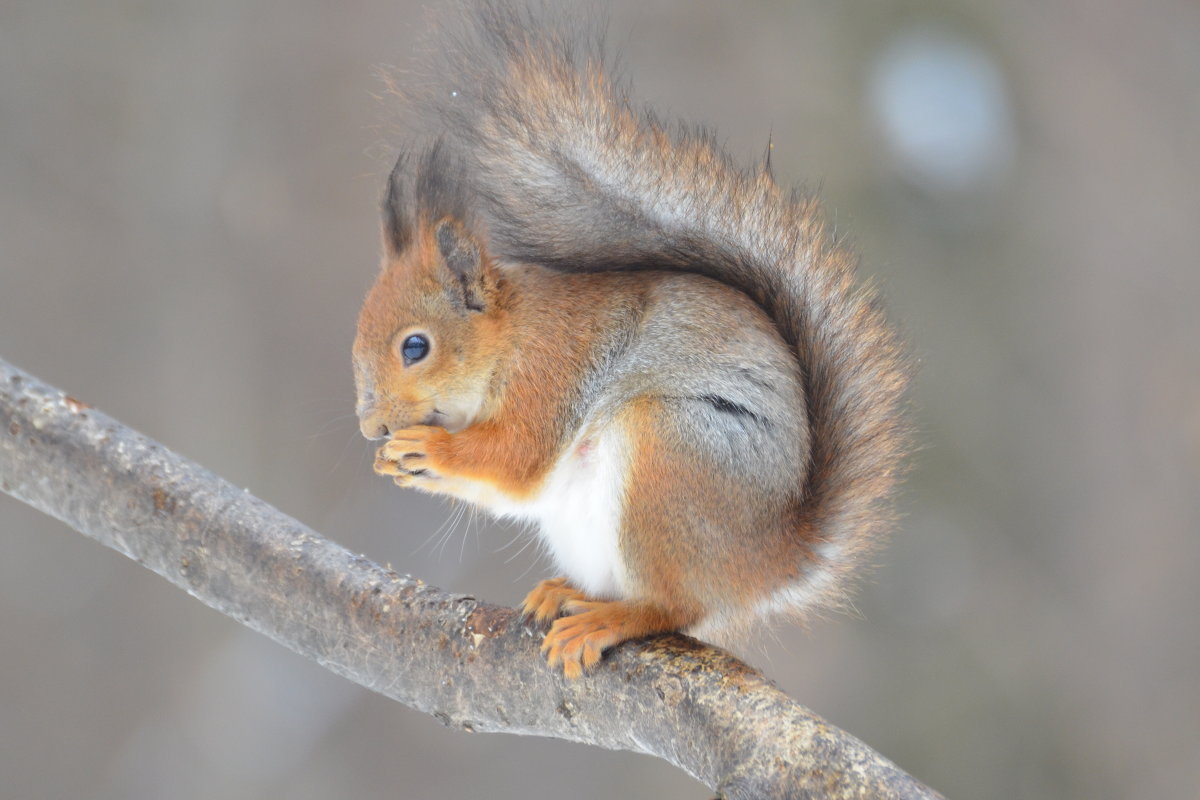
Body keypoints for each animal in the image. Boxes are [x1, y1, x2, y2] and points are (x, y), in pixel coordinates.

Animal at [352, 4, 907, 681]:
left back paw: (606, 621)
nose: (372, 428)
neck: (510, 337)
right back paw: (567, 593)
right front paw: (394, 461)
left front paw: (430, 450)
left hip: (669, 460)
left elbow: (517, 460)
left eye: (415, 347)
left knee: (674, 607)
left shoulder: (553, 368)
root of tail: (764, 564)